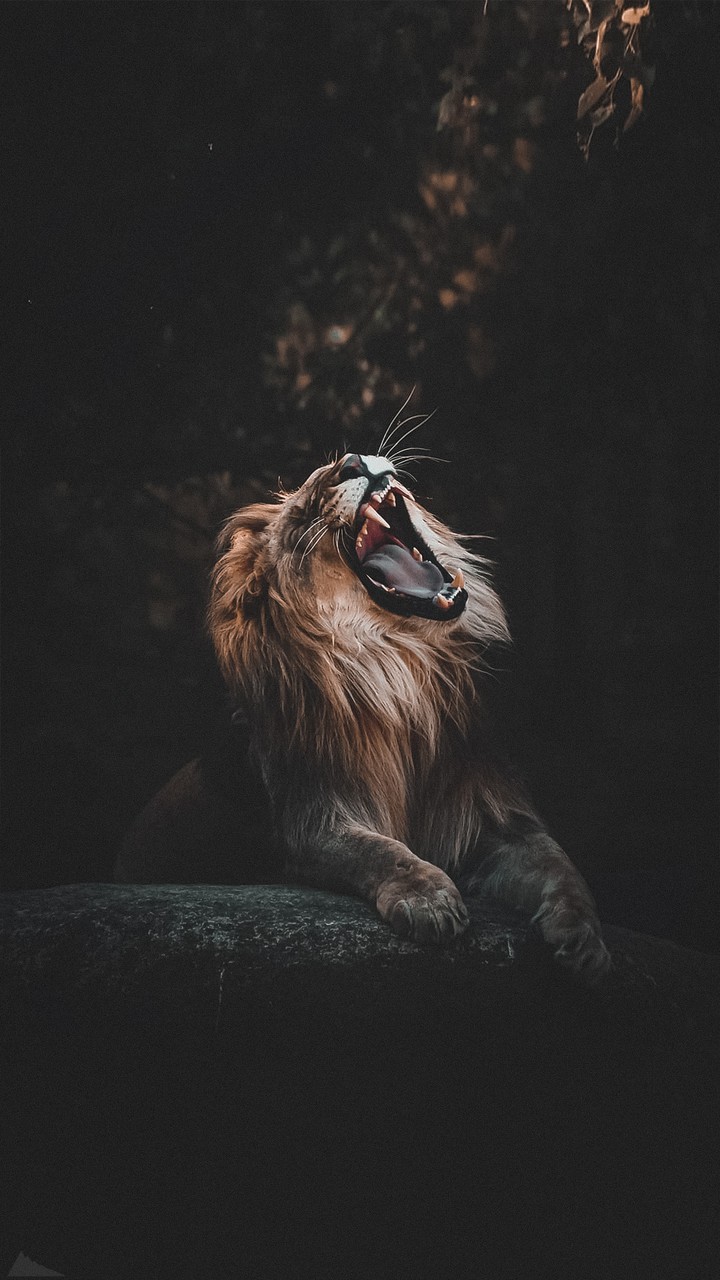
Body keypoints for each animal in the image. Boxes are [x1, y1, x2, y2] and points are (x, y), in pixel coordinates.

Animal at [116, 448, 610, 980]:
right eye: (309, 504)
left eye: (339, 463)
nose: (353, 462)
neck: (400, 665)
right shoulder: (314, 820)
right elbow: (382, 851)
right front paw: (430, 901)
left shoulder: (491, 814)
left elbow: (559, 863)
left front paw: (586, 940)